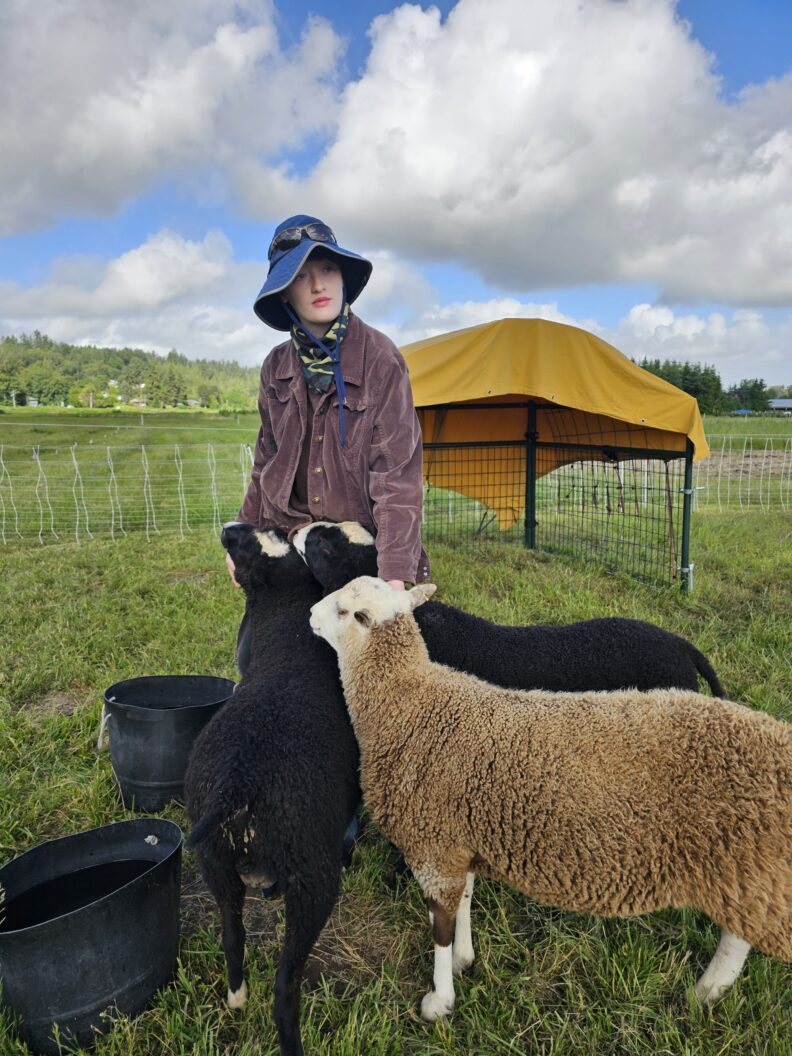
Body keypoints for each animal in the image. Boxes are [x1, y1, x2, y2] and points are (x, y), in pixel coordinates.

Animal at [184, 523, 360, 1056]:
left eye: (269, 533)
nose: (228, 529)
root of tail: (237, 782)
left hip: (215, 862)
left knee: (232, 934)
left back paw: (237, 999)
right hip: (312, 875)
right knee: (286, 985)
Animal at [310, 576, 792, 1021]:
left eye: (343, 611)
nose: (310, 614)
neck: (409, 701)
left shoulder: (434, 845)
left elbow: (440, 927)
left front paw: (438, 1002)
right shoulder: (459, 835)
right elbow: (466, 899)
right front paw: (465, 958)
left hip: (748, 866)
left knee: (739, 937)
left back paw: (704, 991)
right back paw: (707, 992)